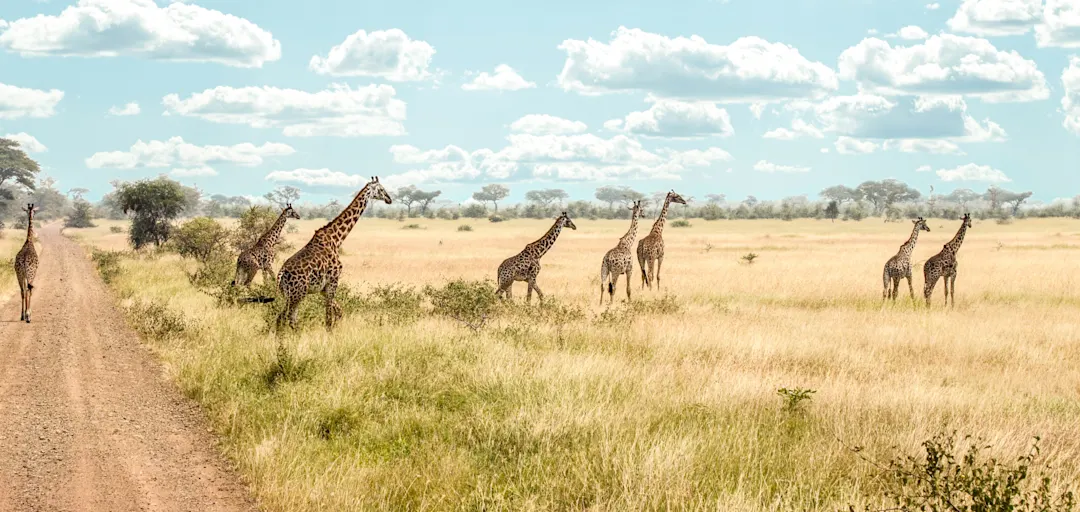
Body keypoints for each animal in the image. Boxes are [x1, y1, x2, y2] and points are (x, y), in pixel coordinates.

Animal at [270, 177, 393, 332]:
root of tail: (281, 273)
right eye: (381, 189)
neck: (336, 239)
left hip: (289, 295)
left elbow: (339, 311)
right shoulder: (333, 281)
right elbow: (328, 318)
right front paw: (330, 333)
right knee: (286, 318)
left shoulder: (323, 288)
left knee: (285, 318)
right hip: (298, 294)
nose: (389, 199)